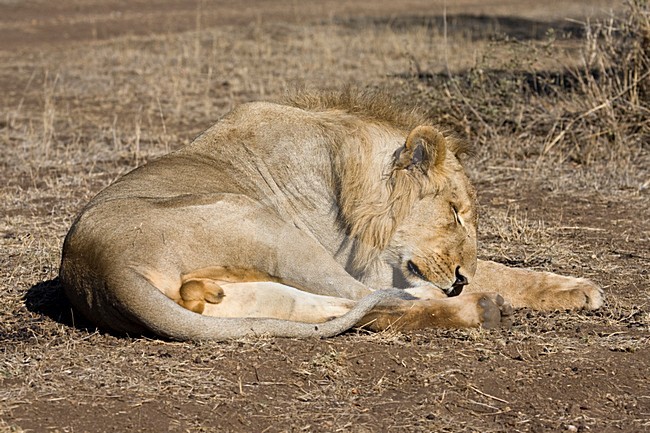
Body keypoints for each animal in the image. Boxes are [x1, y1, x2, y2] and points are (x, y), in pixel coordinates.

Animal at [59, 89, 603, 340]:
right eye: (455, 213)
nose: (460, 280)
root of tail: (97, 267)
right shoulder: (368, 261)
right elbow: (486, 273)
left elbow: (504, 267)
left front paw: (576, 288)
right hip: (270, 227)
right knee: (375, 304)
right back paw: (482, 309)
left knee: (334, 306)